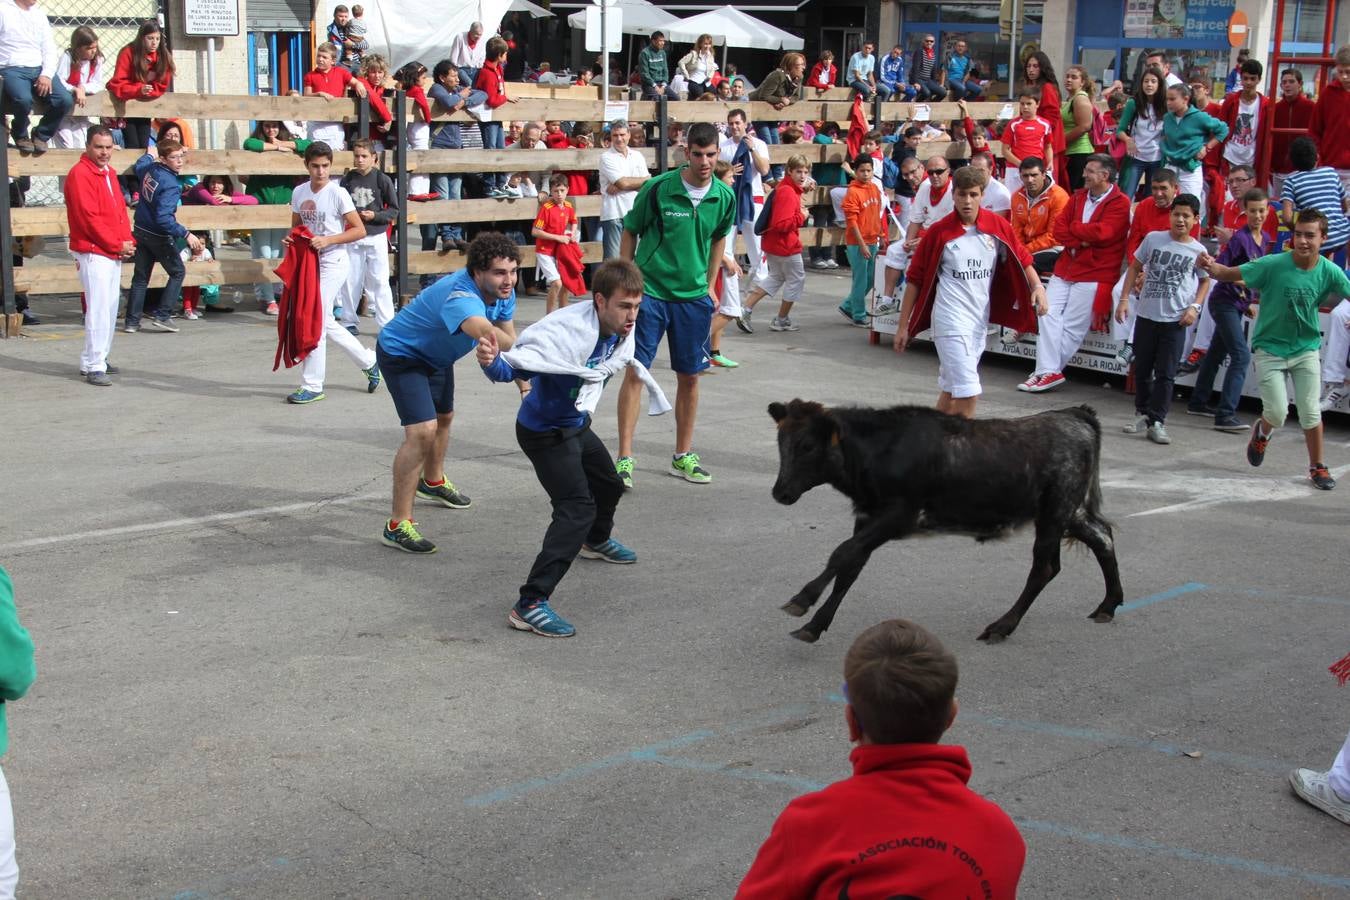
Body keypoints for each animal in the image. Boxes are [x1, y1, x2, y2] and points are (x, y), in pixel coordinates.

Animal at [766, 399, 1123, 639]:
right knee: (1101, 536)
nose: (780, 493)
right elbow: (850, 566)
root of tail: (1074, 415)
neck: (879, 450)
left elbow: (842, 553)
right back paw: (1108, 605)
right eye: (780, 442)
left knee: (1045, 568)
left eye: (807, 445)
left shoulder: (899, 516)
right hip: (1066, 511)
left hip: (1055, 511)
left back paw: (1002, 626)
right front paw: (814, 625)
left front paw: (802, 599)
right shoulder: (868, 519)